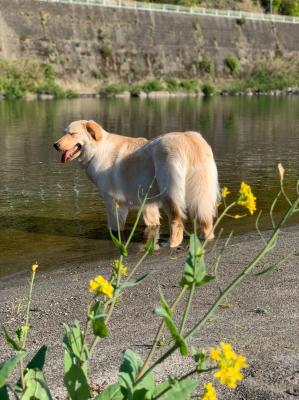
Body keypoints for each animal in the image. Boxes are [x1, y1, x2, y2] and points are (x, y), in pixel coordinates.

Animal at [54, 120, 219, 248]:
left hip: (169, 193)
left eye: (72, 134)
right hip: (200, 193)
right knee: (205, 219)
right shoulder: (147, 202)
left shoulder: (113, 202)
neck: (98, 150)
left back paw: (171, 244)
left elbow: (114, 227)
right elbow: (152, 221)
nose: (55, 145)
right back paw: (205, 238)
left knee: (176, 221)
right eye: (64, 132)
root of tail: (189, 139)